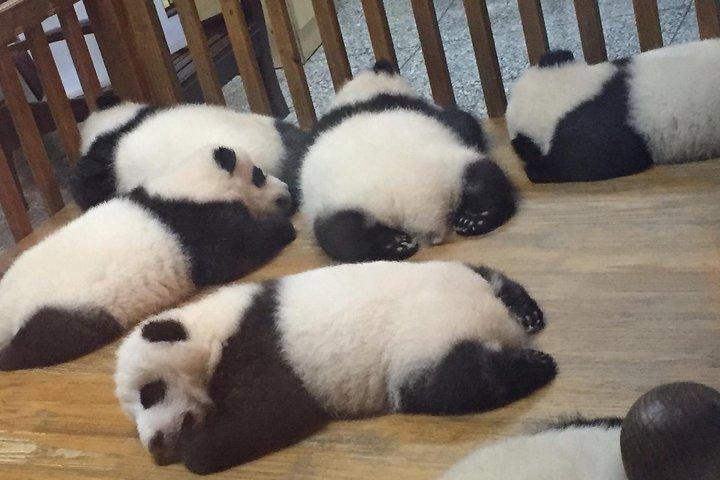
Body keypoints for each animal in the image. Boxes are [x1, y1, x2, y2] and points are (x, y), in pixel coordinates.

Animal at [0, 145, 295, 371]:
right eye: (258, 175)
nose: (287, 192)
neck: (190, 183)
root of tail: (6, 307)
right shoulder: (196, 227)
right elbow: (234, 252)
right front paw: (283, 227)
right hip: (64, 314)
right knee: (47, 343)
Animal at [115, 260, 555, 474]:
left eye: (149, 393)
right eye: (134, 411)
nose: (155, 444)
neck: (210, 328)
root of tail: (500, 319)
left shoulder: (261, 348)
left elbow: (272, 412)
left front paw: (197, 451)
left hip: (422, 340)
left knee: (456, 382)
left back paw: (537, 364)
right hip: (453, 276)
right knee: (491, 275)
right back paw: (529, 314)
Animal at [298, 61, 517, 263]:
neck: (361, 95)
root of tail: (420, 210)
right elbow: (463, 122)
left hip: (456, 168)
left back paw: (471, 220)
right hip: (340, 205)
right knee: (341, 235)